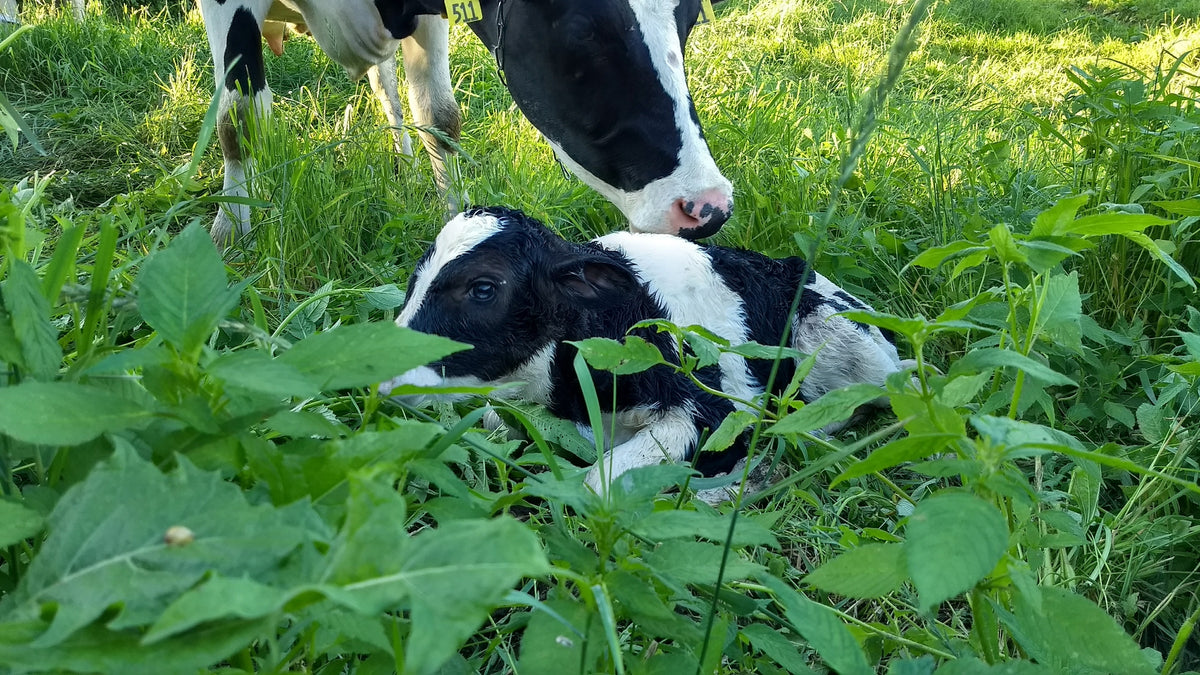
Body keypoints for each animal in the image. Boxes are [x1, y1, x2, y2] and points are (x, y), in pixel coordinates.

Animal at [196, 0, 729, 247]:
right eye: (584, 33)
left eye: (688, 20)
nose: (708, 207)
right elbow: (238, 117)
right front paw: (231, 229)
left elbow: (439, 114)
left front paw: (456, 217)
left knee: (386, 88)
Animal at [379, 207, 902, 497]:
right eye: (415, 279)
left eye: (484, 288)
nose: (382, 379)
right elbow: (492, 419)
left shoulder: (714, 411)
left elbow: (598, 483)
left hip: (841, 336)